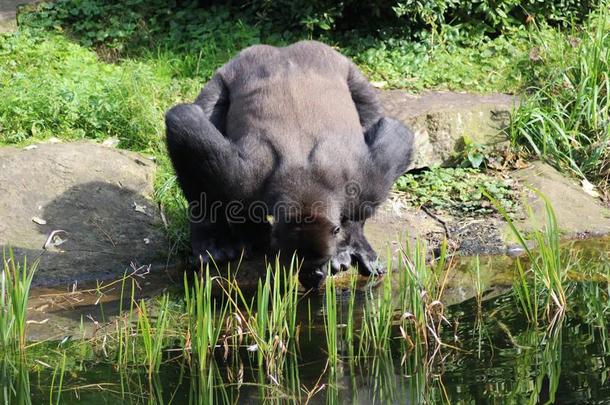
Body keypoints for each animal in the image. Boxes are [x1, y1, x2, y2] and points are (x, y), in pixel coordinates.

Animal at [165, 40, 414, 288]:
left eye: (321, 260)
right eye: (296, 262)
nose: (313, 277)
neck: (305, 180)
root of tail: (282, 49)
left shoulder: (367, 183)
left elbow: (395, 139)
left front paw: (353, 242)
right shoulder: (238, 180)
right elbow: (185, 130)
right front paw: (212, 237)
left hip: (351, 71)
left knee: (368, 107)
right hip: (225, 75)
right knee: (207, 107)